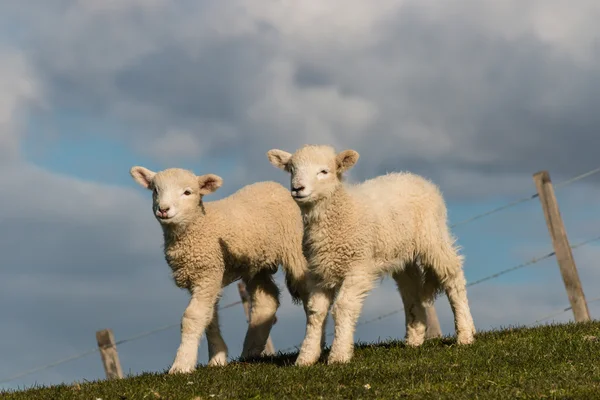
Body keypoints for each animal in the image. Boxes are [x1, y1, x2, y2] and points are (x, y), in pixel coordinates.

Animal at [129, 166, 312, 376]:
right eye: (155, 190)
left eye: (187, 192)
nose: (164, 209)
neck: (199, 226)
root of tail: (273, 185)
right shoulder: (203, 277)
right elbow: (209, 317)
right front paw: (217, 358)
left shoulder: (207, 272)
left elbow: (193, 316)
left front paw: (182, 364)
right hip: (256, 264)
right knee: (267, 300)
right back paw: (250, 351)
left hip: (295, 247)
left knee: (310, 292)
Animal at [270, 145, 476, 368]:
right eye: (292, 170)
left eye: (324, 171)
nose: (298, 188)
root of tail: (414, 177)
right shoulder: (319, 272)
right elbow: (315, 312)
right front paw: (306, 357)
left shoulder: (358, 267)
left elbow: (342, 307)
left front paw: (339, 355)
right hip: (400, 252)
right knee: (410, 288)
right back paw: (414, 337)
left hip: (433, 237)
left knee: (453, 277)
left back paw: (465, 334)